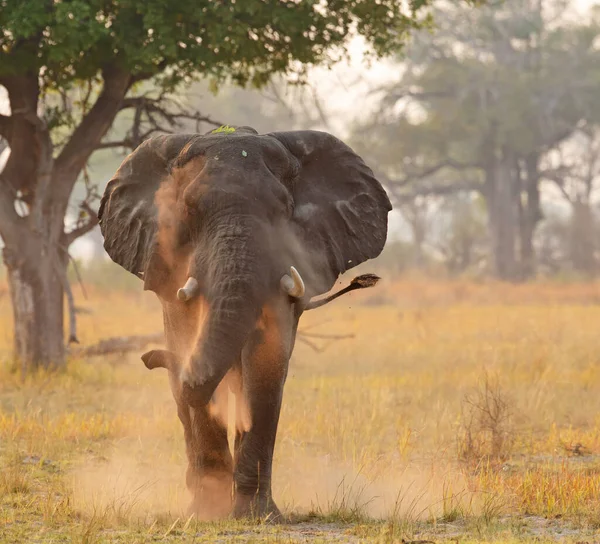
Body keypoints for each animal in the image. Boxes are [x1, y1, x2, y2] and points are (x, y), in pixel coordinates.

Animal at [98, 125, 392, 520]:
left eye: (282, 211)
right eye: (189, 210)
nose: (147, 358)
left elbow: (267, 365)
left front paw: (257, 514)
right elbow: (189, 344)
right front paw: (208, 511)